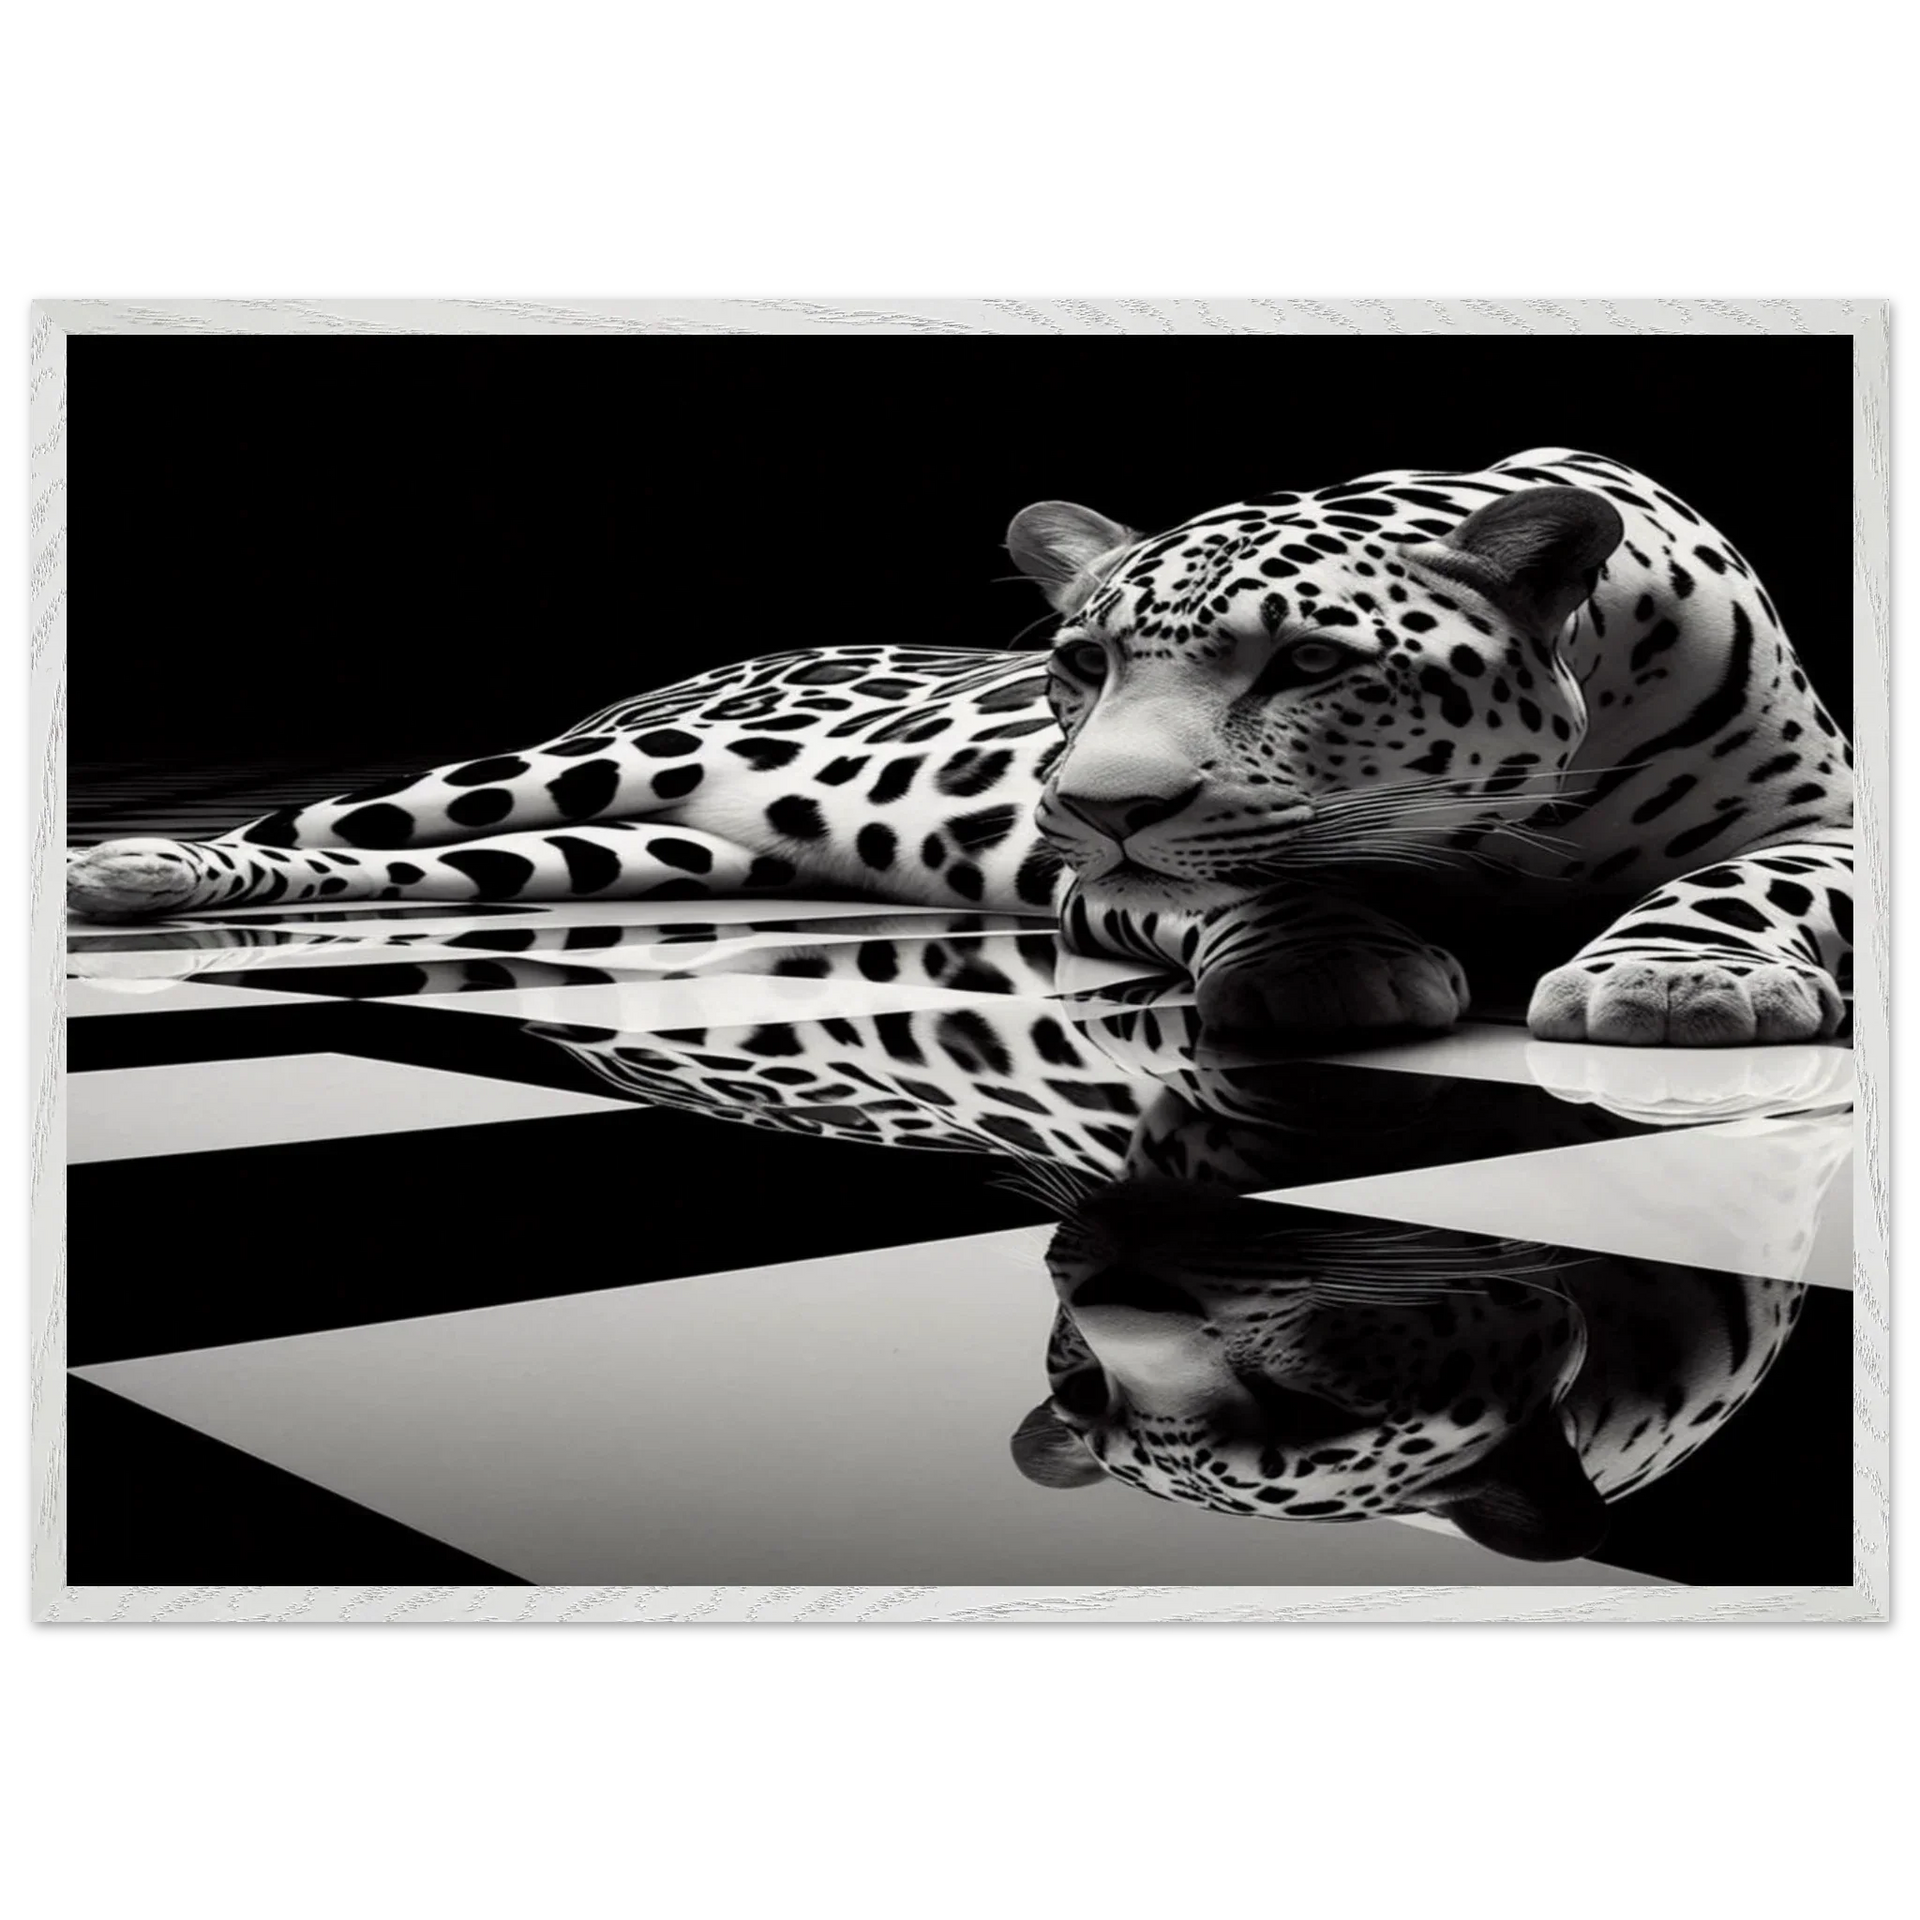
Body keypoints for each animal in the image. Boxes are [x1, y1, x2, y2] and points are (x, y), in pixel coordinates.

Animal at [65, 448, 1855, 1049]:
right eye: (1079, 664)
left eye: (1309, 663)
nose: (1091, 803)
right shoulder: (1105, 887)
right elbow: (1251, 884)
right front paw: (1327, 963)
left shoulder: (1830, 825)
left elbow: (1748, 885)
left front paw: (1681, 978)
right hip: (558, 774)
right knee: (330, 820)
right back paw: (137, 869)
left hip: (629, 851)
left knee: (443, 867)